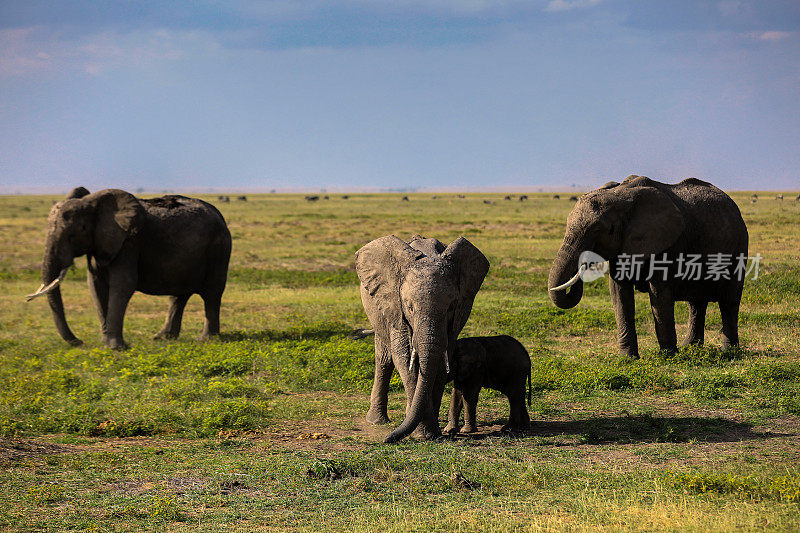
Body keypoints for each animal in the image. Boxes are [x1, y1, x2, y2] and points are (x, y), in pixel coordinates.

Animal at [25, 187, 231, 350]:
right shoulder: (99, 246)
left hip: (219, 249)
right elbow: (96, 286)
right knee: (178, 296)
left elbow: (123, 285)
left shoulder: (129, 242)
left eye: (79, 230)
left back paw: (207, 340)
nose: (79, 342)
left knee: (211, 293)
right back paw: (162, 338)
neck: (93, 203)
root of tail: (219, 214)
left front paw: (115, 348)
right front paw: (105, 344)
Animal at [354, 235, 488, 442]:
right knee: (384, 359)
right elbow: (403, 359)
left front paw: (431, 433)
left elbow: (441, 363)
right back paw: (377, 421)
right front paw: (421, 433)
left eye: (451, 307)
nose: (387, 439)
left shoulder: (455, 319)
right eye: (409, 307)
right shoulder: (395, 307)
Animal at [548, 178, 748, 358]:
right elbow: (619, 294)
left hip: (739, 246)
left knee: (729, 301)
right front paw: (627, 359)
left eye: (600, 230)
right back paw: (690, 348)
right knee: (696, 303)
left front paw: (668, 356)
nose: (582, 265)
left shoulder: (666, 244)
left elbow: (659, 294)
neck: (621, 195)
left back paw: (728, 352)